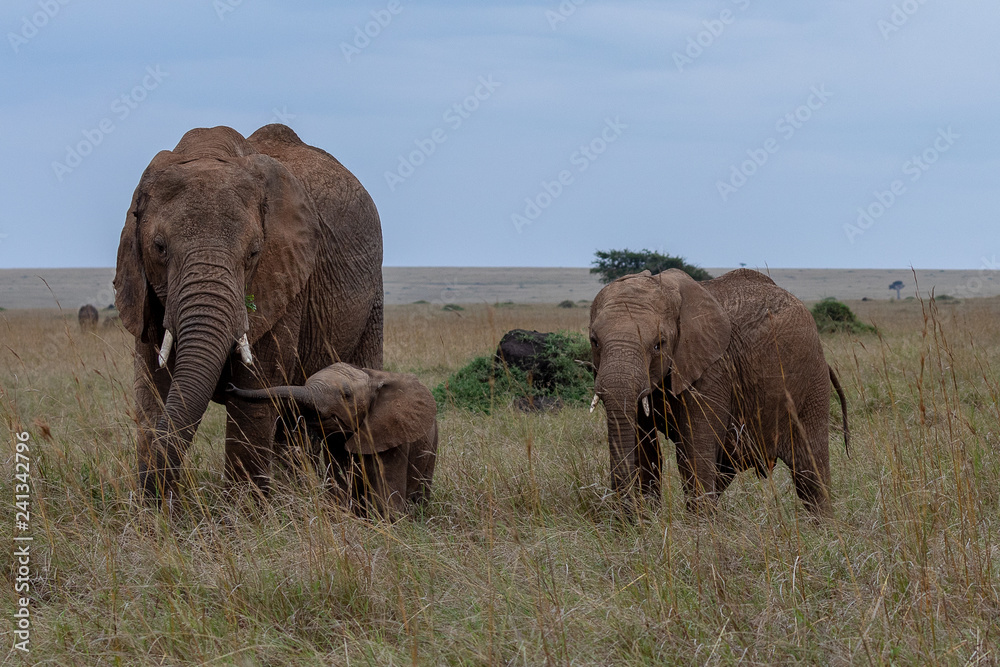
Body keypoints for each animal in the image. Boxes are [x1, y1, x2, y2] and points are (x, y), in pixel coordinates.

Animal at [114, 124, 383, 500]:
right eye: (159, 247)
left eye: (254, 252)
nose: (156, 498)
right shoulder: (145, 293)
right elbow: (154, 391)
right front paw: (153, 512)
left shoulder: (285, 280)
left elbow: (255, 388)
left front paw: (244, 511)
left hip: (371, 299)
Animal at [228, 362, 438, 516]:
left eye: (346, 395)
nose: (230, 386)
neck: (372, 377)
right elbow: (340, 490)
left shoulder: (391, 436)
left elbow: (385, 501)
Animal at [588, 268, 849, 516]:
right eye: (594, 341)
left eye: (658, 344)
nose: (623, 516)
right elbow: (645, 450)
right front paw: (645, 523)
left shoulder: (713, 369)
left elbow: (695, 451)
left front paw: (698, 529)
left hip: (812, 382)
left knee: (810, 472)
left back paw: (824, 527)